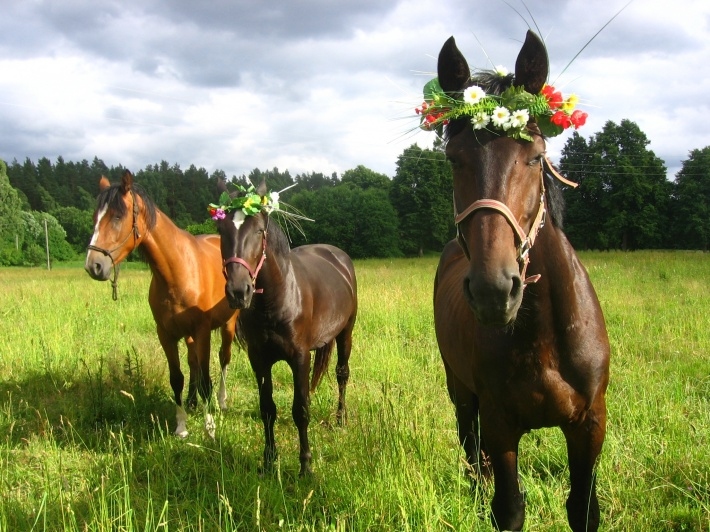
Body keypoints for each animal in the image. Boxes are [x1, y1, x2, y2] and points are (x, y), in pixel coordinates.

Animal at [85, 170, 241, 436]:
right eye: (95, 218)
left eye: (117, 216)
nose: (93, 265)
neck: (177, 269)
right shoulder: (166, 334)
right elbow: (176, 378)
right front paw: (181, 426)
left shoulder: (202, 331)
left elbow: (206, 380)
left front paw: (209, 427)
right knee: (193, 363)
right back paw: (192, 401)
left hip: (228, 324)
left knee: (223, 359)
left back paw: (221, 401)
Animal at [422, 31, 612, 528]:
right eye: (454, 159)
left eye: (535, 156)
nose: (493, 291)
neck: (542, 335)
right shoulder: (500, 421)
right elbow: (507, 509)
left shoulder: (590, 424)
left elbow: (583, 510)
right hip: (460, 391)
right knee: (473, 455)